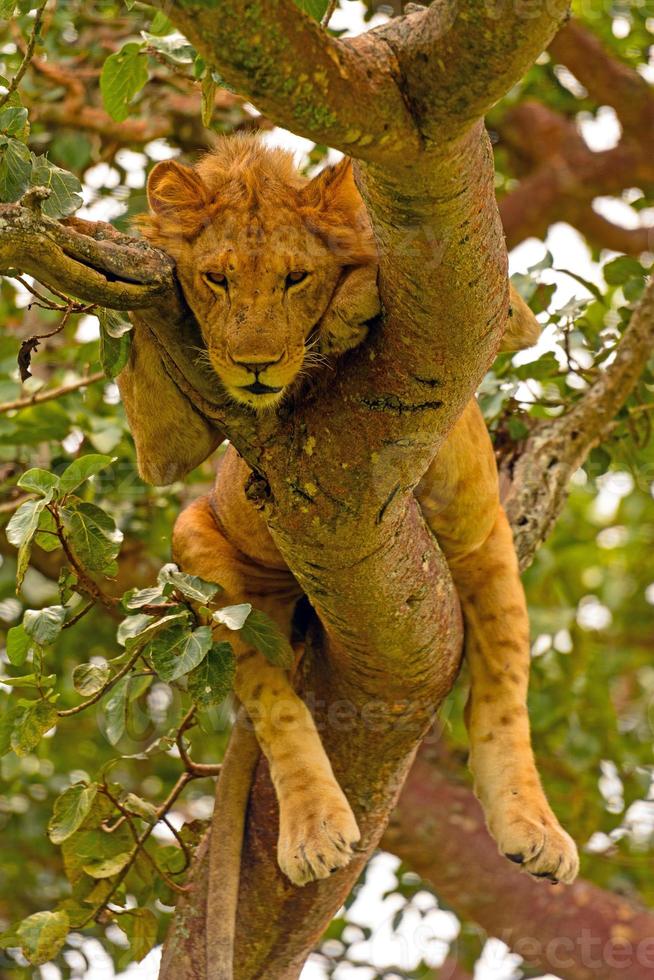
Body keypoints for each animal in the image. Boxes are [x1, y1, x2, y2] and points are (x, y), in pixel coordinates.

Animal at [121, 136, 580, 888]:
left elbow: (375, 269)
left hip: (483, 540)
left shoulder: (500, 310)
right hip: (200, 545)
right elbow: (153, 403)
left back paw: (534, 829)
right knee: (271, 695)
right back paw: (314, 830)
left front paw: (348, 302)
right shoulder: (163, 447)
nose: (254, 367)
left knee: (501, 694)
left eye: (295, 278)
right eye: (215, 279)